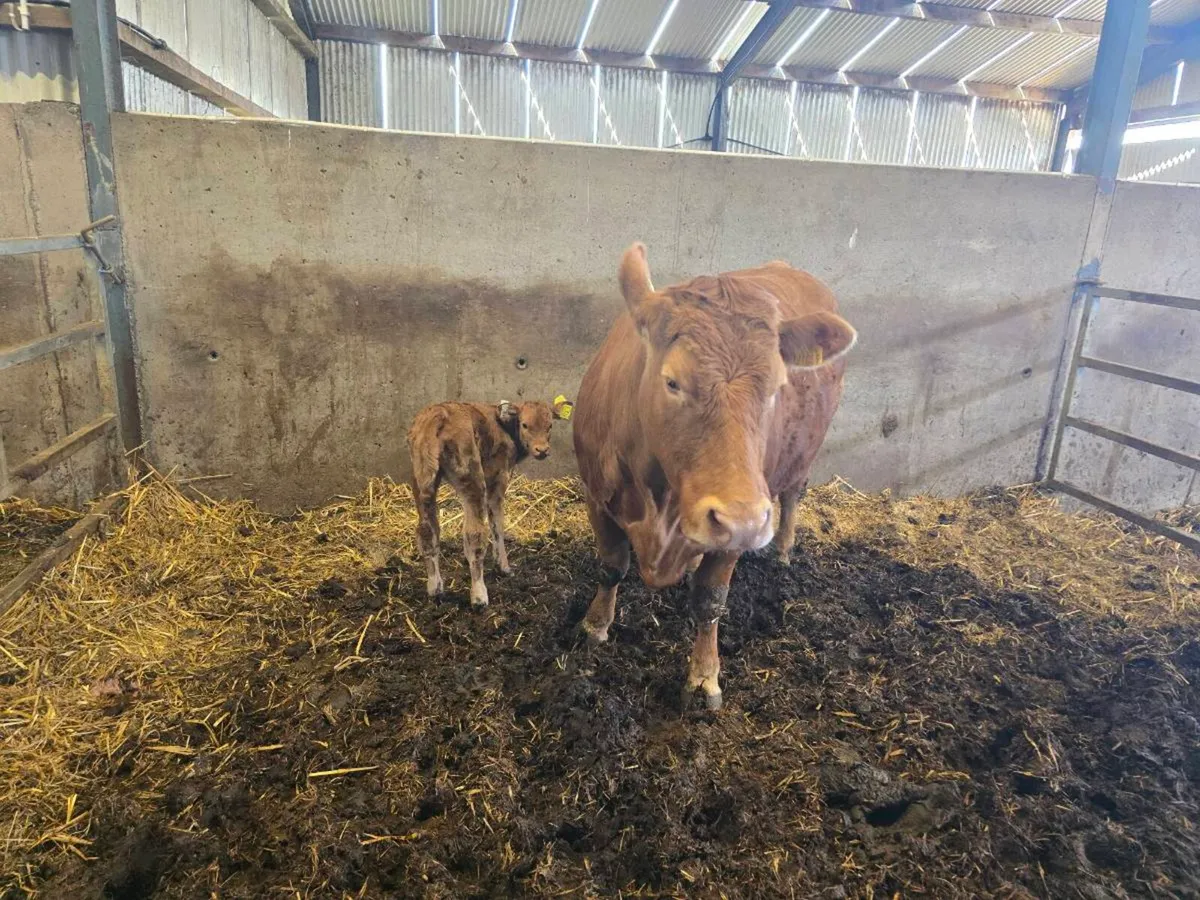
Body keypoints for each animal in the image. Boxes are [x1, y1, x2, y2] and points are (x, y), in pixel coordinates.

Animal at [409, 397, 572, 609]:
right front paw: (503, 566)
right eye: (525, 424)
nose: (542, 450)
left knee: (428, 531)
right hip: (472, 478)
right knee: (475, 534)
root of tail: (438, 414)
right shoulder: (498, 481)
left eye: (550, 425)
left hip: (421, 482)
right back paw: (479, 596)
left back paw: (435, 588)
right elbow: (497, 525)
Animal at [572, 243, 856, 709]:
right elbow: (611, 566)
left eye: (777, 387)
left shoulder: (736, 533)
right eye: (672, 382)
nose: (742, 520)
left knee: (792, 495)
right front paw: (594, 626)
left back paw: (782, 549)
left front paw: (704, 676)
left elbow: (709, 602)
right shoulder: (597, 495)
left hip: (801, 458)